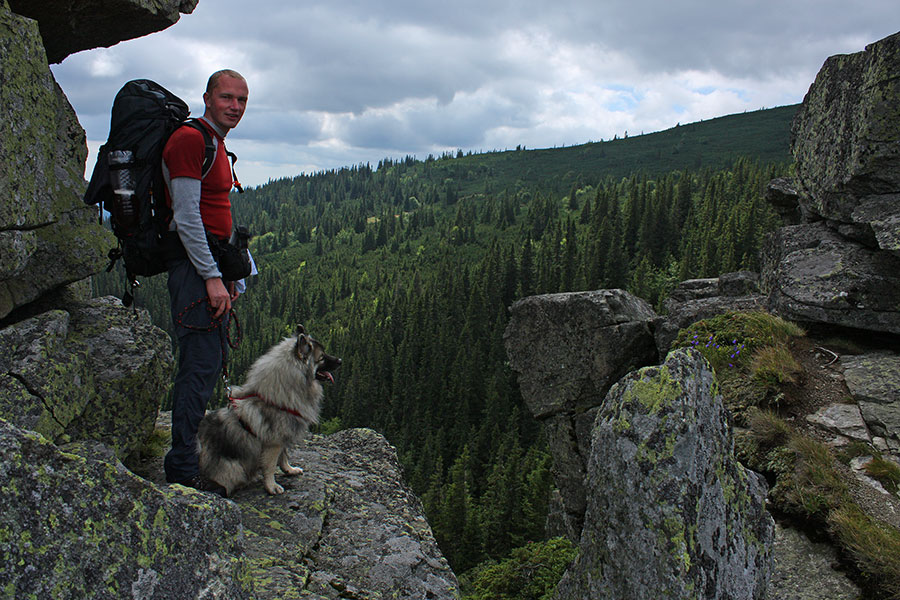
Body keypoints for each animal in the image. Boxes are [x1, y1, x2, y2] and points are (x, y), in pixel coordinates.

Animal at [197, 324, 342, 496]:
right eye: (322, 357)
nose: (340, 360)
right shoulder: (274, 442)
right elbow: (271, 465)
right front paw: (271, 486)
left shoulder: (284, 436)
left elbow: (284, 456)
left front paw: (289, 470)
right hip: (232, 469)